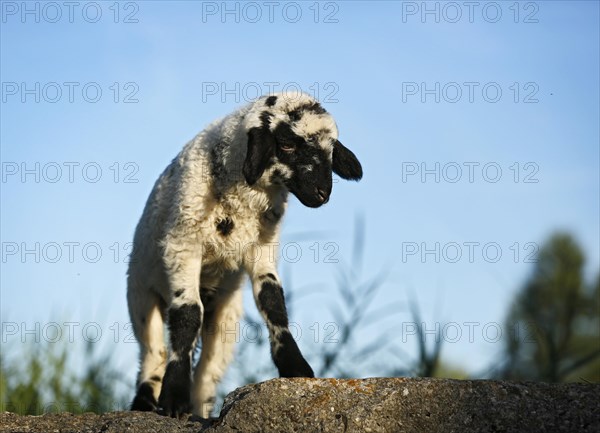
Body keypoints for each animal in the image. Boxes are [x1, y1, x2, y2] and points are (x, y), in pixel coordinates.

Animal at [126, 90, 360, 416]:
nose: (322, 193)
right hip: (140, 296)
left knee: (206, 374)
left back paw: (198, 410)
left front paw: (295, 367)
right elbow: (187, 315)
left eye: (331, 150)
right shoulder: (182, 244)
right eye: (287, 144)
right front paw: (173, 398)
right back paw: (145, 401)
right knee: (153, 352)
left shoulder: (262, 248)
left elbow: (273, 302)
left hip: (225, 318)